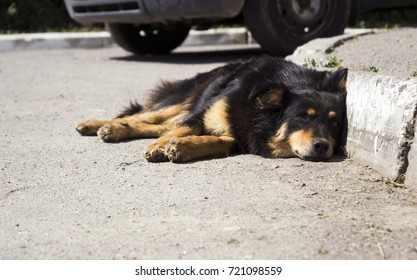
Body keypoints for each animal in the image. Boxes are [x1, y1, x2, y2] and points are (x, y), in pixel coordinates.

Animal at [75, 55, 348, 163]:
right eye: (303, 116)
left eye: (335, 123)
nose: (322, 146)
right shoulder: (204, 113)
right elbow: (182, 130)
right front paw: (159, 148)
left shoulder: (240, 134)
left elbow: (219, 140)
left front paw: (183, 148)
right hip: (185, 98)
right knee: (144, 115)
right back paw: (98, 125)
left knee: (159, 125)